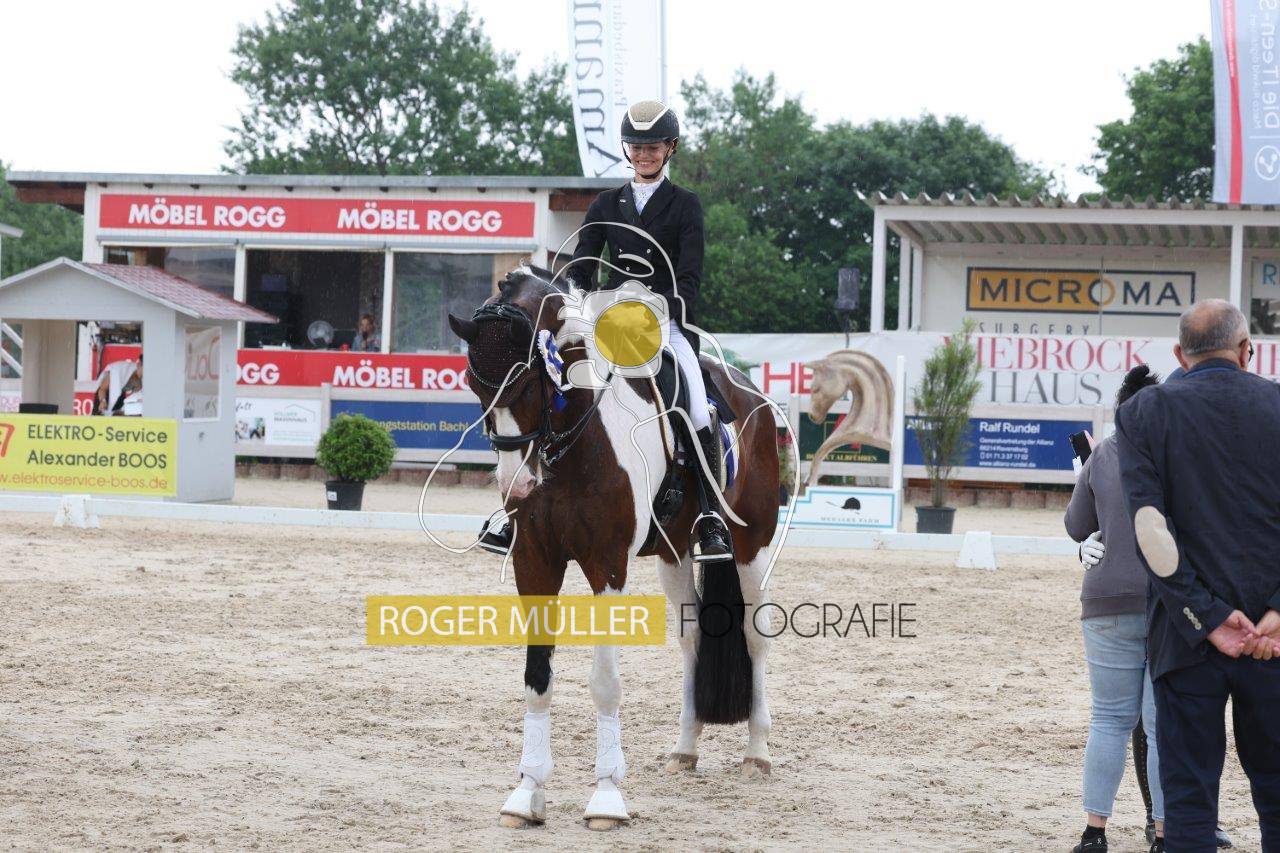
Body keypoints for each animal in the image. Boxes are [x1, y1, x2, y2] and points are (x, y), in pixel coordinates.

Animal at [447, 266, 780, 830]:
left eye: (530, 381)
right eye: (474, 384)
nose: (517, 484)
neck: (573, 441)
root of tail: (750, 392)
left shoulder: (606, 565)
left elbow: (604, 682)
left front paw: (606, 799)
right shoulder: (535, 563)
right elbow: (537, 677)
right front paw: (527, 793)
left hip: (751, 548)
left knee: (755, 639)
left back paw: (757, 754)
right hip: (675, 555)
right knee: (692, 640)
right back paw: (684, 749)